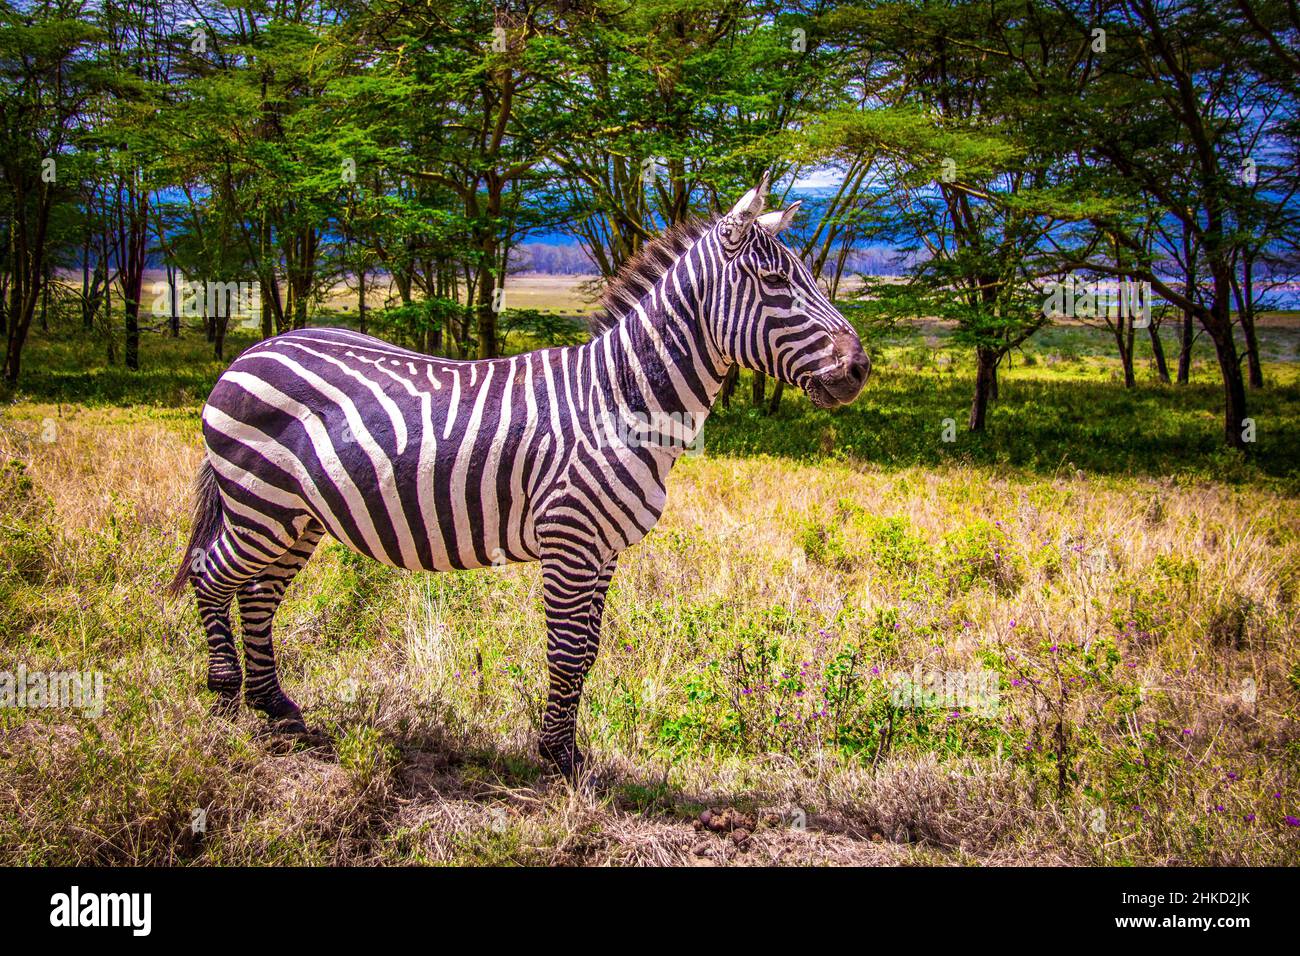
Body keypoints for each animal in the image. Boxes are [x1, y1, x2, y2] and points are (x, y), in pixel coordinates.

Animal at [166, 174, 871, 780]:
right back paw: (226, 701)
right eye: (775, 281)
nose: (859, 368)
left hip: (297, 516)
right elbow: (566, 651)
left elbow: (587, 653)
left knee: (258, 594)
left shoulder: (602, 550)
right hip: (258, 504)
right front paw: (558, 761)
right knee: (211, 575)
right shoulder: (569, 540)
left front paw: (568, 753)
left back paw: (277, 709)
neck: (618, 399)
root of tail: (252, 350)